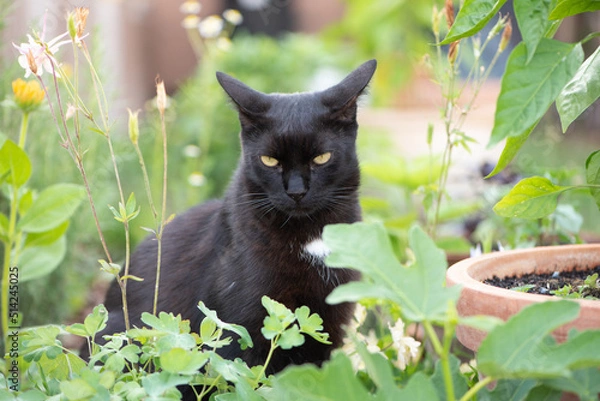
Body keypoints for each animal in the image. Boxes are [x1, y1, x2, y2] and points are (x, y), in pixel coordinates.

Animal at [98, 61, 376, 390]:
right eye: (269, 161)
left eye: (321, 158)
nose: (296, 192)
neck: (310, 236)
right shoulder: (241, 328)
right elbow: (242, 381)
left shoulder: (328, 324)